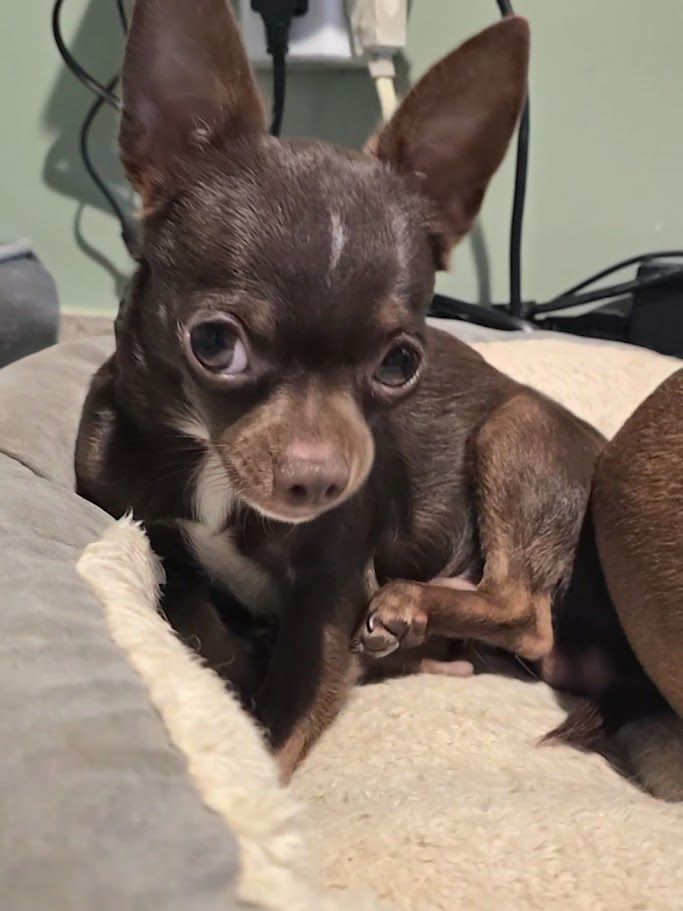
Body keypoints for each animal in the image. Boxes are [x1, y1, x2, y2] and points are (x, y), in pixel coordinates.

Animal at [75, 0, 663, 780]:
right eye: (214, 345)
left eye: (400, 362)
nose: (320, 480)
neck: (209, 465)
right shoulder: (141, 521)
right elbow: (197, 618)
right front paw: (229, 660)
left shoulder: (331, 594)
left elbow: (277, 729)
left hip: (517, 428)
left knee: (524, 610)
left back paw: (416, 605)